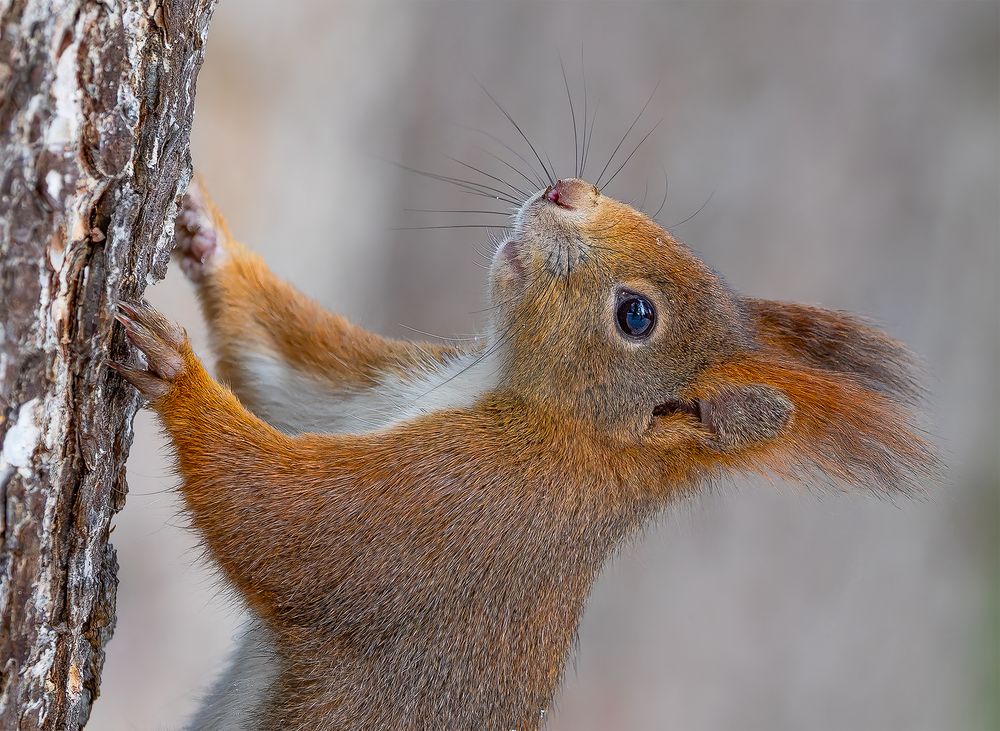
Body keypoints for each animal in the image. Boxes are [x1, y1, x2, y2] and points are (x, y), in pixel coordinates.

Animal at [113, 174, 932, 728]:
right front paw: (203, 231)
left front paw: (177, 375)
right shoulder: (373, 398)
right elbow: (290, 379)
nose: (566, 189)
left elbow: (290, 526)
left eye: (636, 315)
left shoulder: (464, 503)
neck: (532, 399)